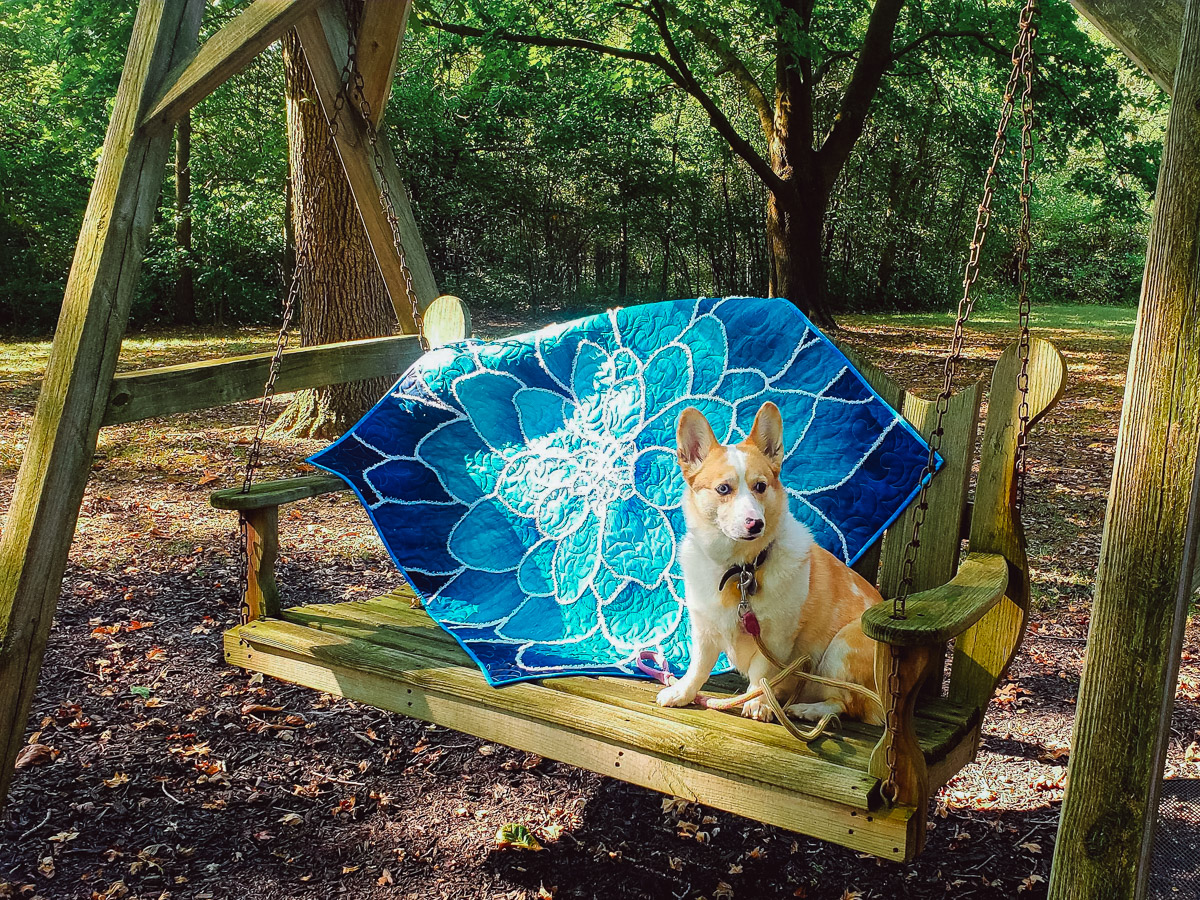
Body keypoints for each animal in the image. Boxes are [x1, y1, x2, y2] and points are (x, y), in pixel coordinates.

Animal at [652, 400, 888, 724]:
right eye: (723, 489)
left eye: (760, 487)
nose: (756, 524)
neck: (739, 569)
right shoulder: (705, 629)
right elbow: (698, 667)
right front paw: (682, 693)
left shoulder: (775, 637)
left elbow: (762, 674)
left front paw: (759, 702)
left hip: (842, 645)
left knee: (844, 702)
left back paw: (807, 710)